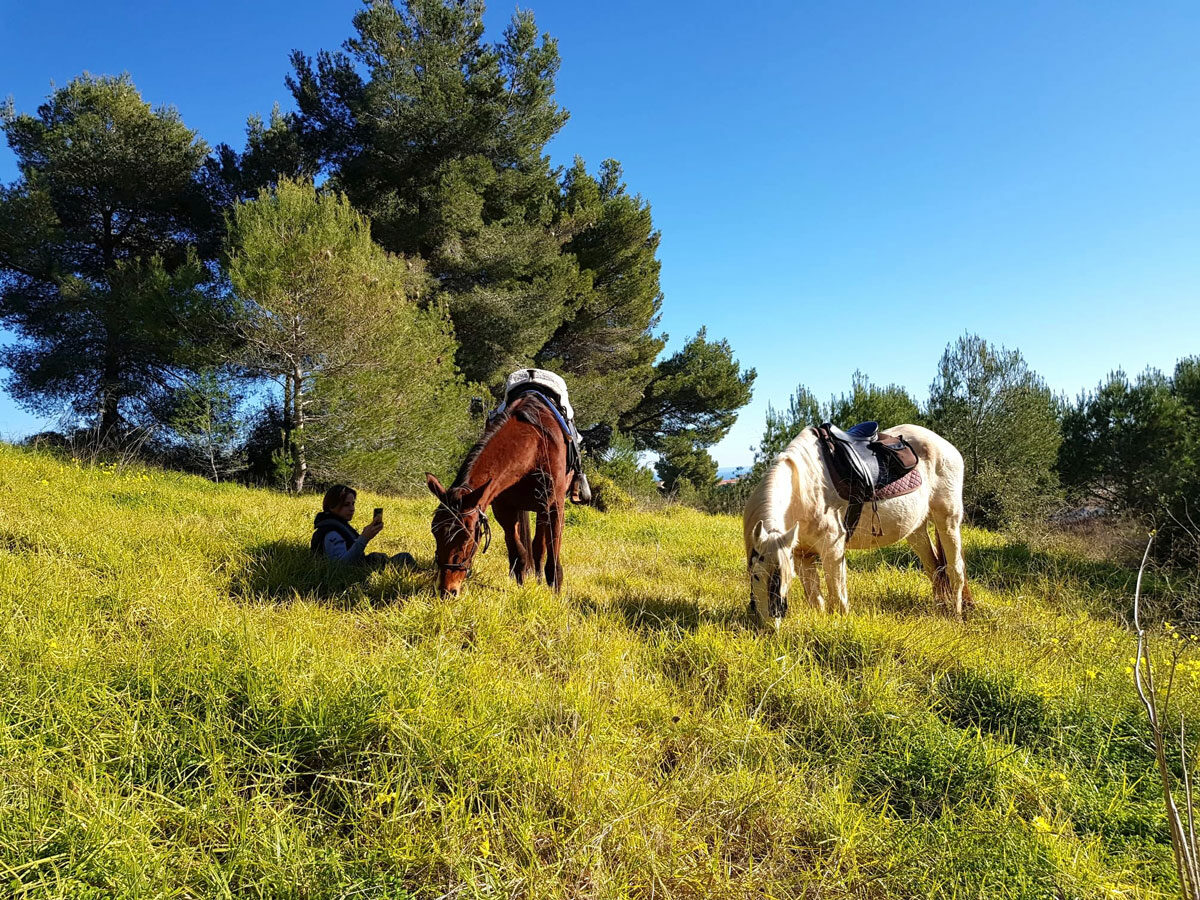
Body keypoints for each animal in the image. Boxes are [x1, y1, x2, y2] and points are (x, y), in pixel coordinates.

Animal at [424, 393, 573, 600]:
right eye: (435, 532)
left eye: (467, 538)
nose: (447, 591)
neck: (534, 446)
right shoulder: (505, 510)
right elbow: (519, 554)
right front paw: (520, 589)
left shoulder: (555, 506)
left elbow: (552, 558)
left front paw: (555, 596)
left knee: (540, 547)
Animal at [744, 424, 969, 628]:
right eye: (755, 575)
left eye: (786, 577)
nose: (770, 625)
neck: (803, 488)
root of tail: (945, 445)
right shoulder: (801, 555)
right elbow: (816, 601)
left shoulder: (833, 549)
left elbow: (838, 598)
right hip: (916, 529)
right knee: (934, 568)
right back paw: (940, 610)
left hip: (948, 519)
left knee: (955, 570)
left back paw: (956, 617)